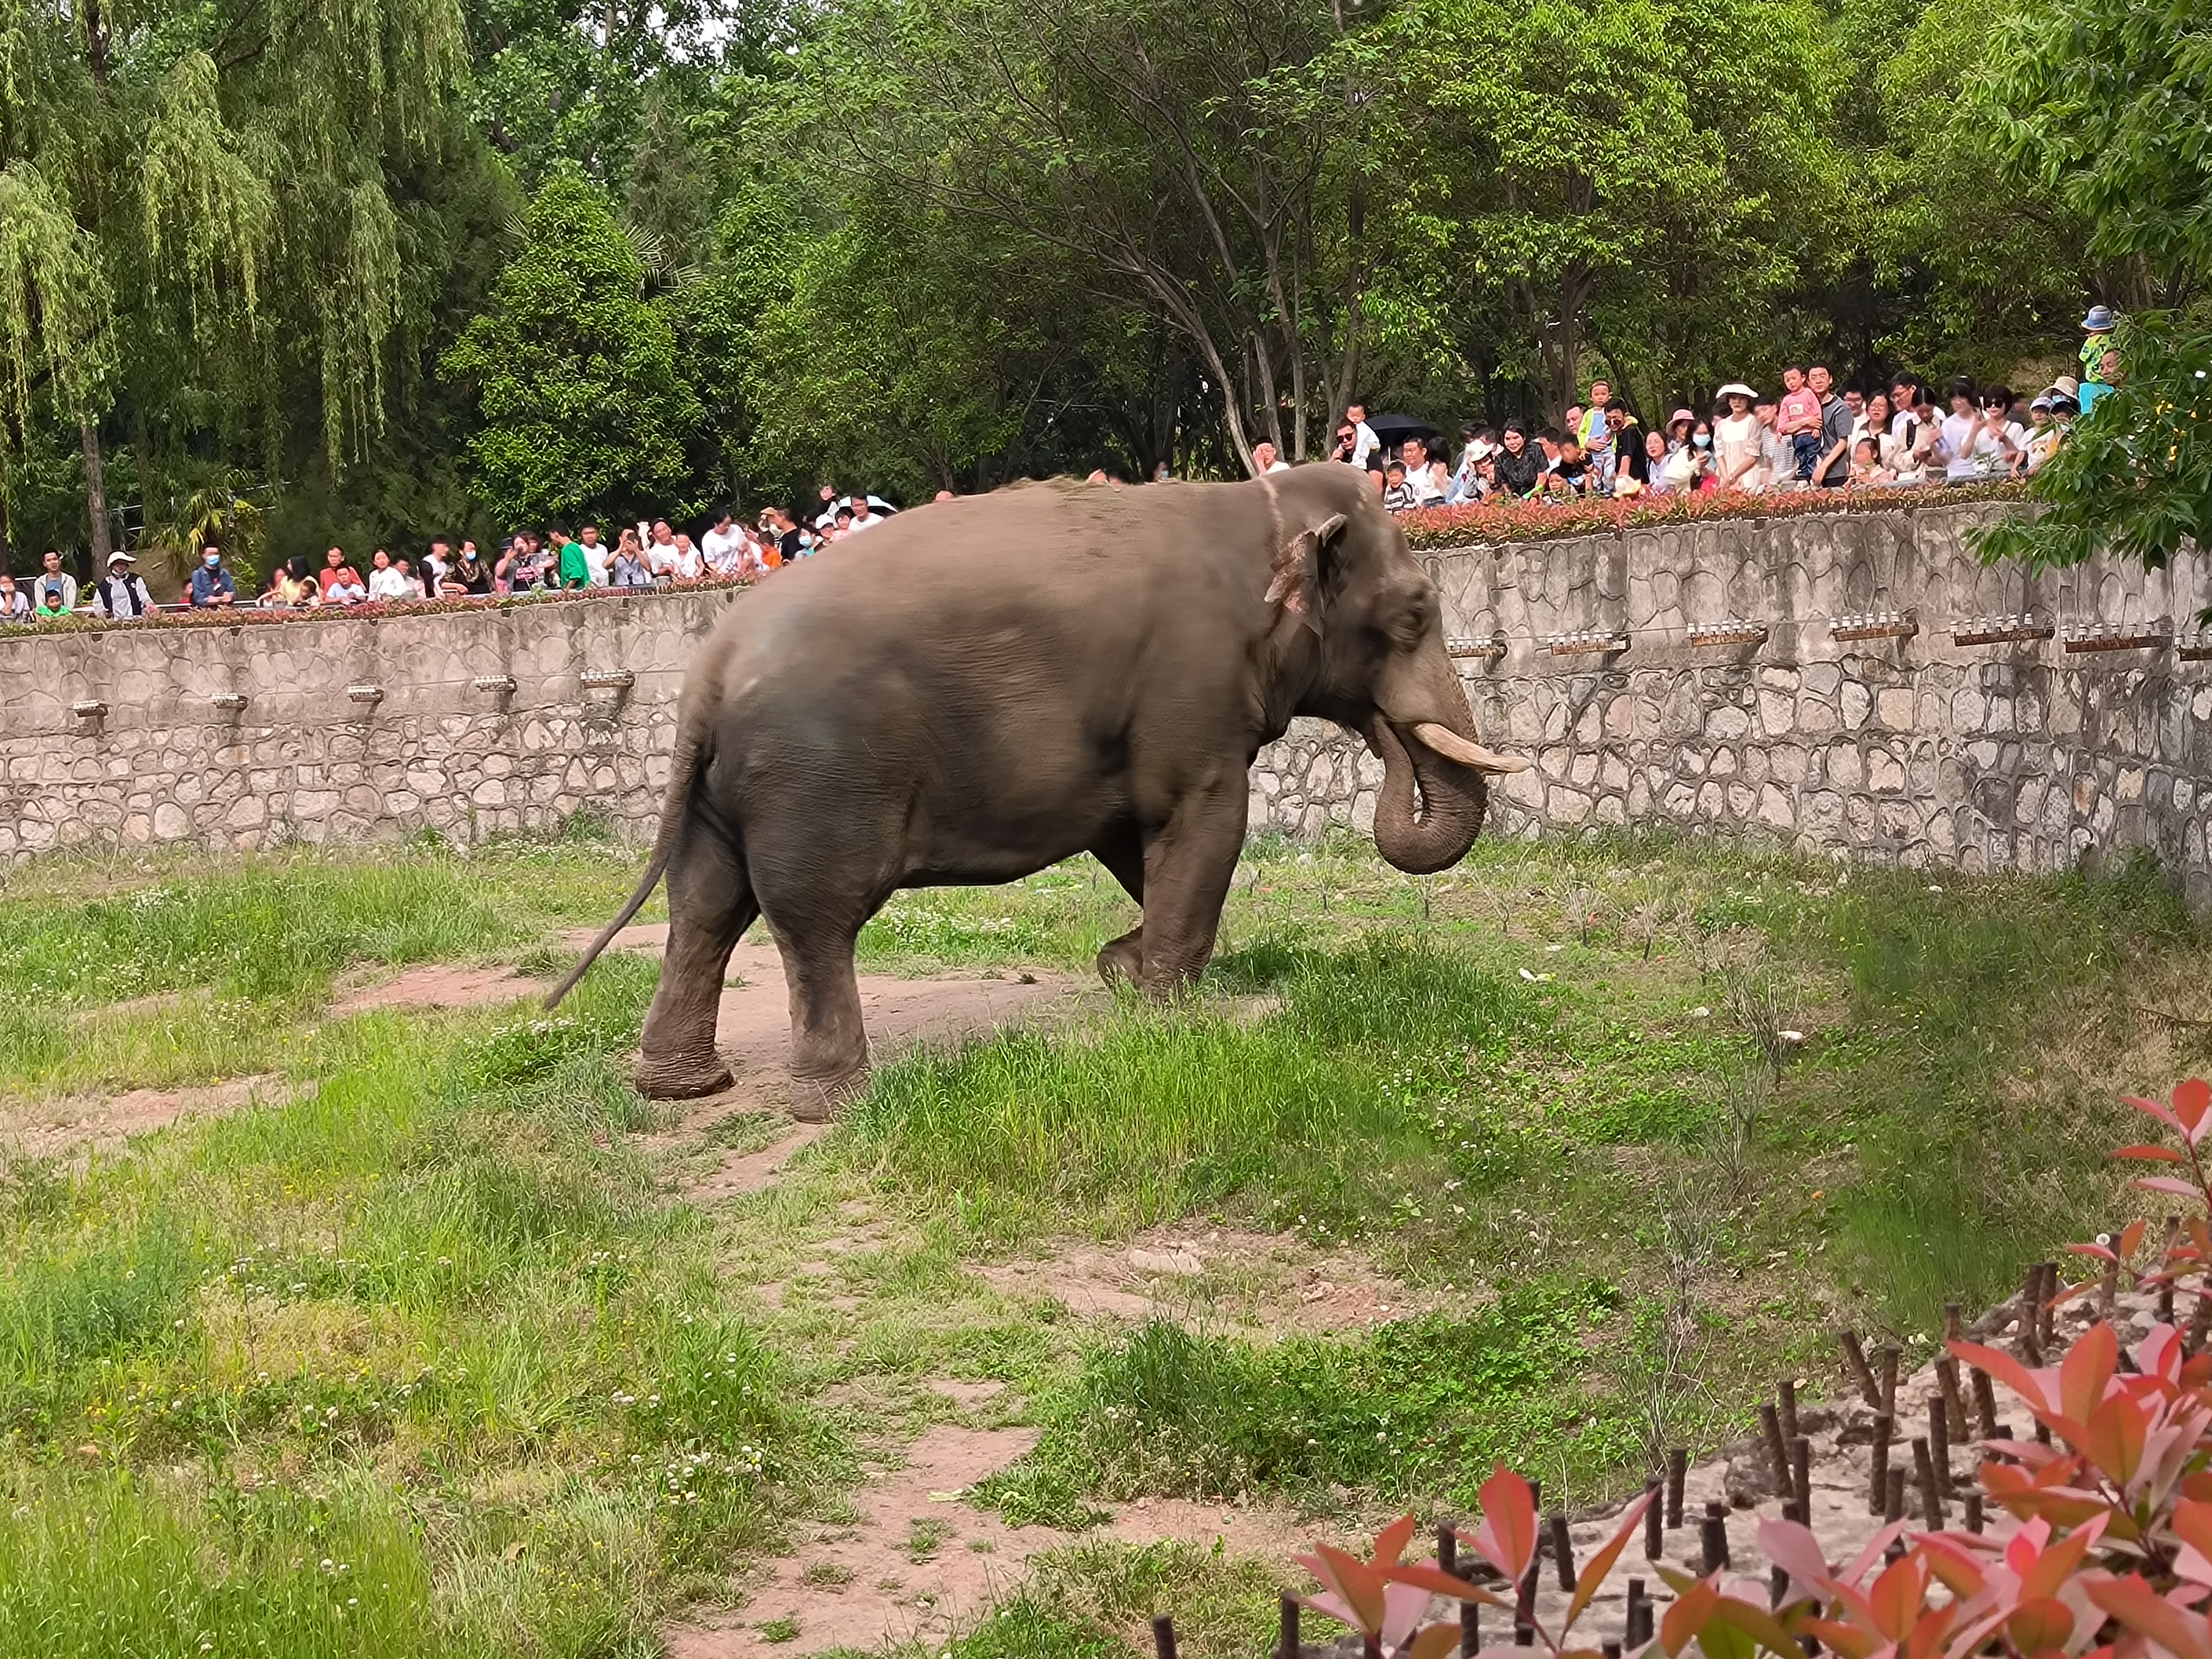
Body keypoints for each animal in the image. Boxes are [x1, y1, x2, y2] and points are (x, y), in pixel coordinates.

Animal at [544, 464, 1530, 1119]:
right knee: (812, 918)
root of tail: (709, 669)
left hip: (721, 794)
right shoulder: (1195, 692)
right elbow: (1203, 821)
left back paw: (683, 1089)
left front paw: (1124, 970)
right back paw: (840, 1103)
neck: (1254, 502)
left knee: (705, 909)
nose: (1388, 733)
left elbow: (1136, 835)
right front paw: (1164, 1012)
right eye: (1414, 615)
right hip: (815, 777)